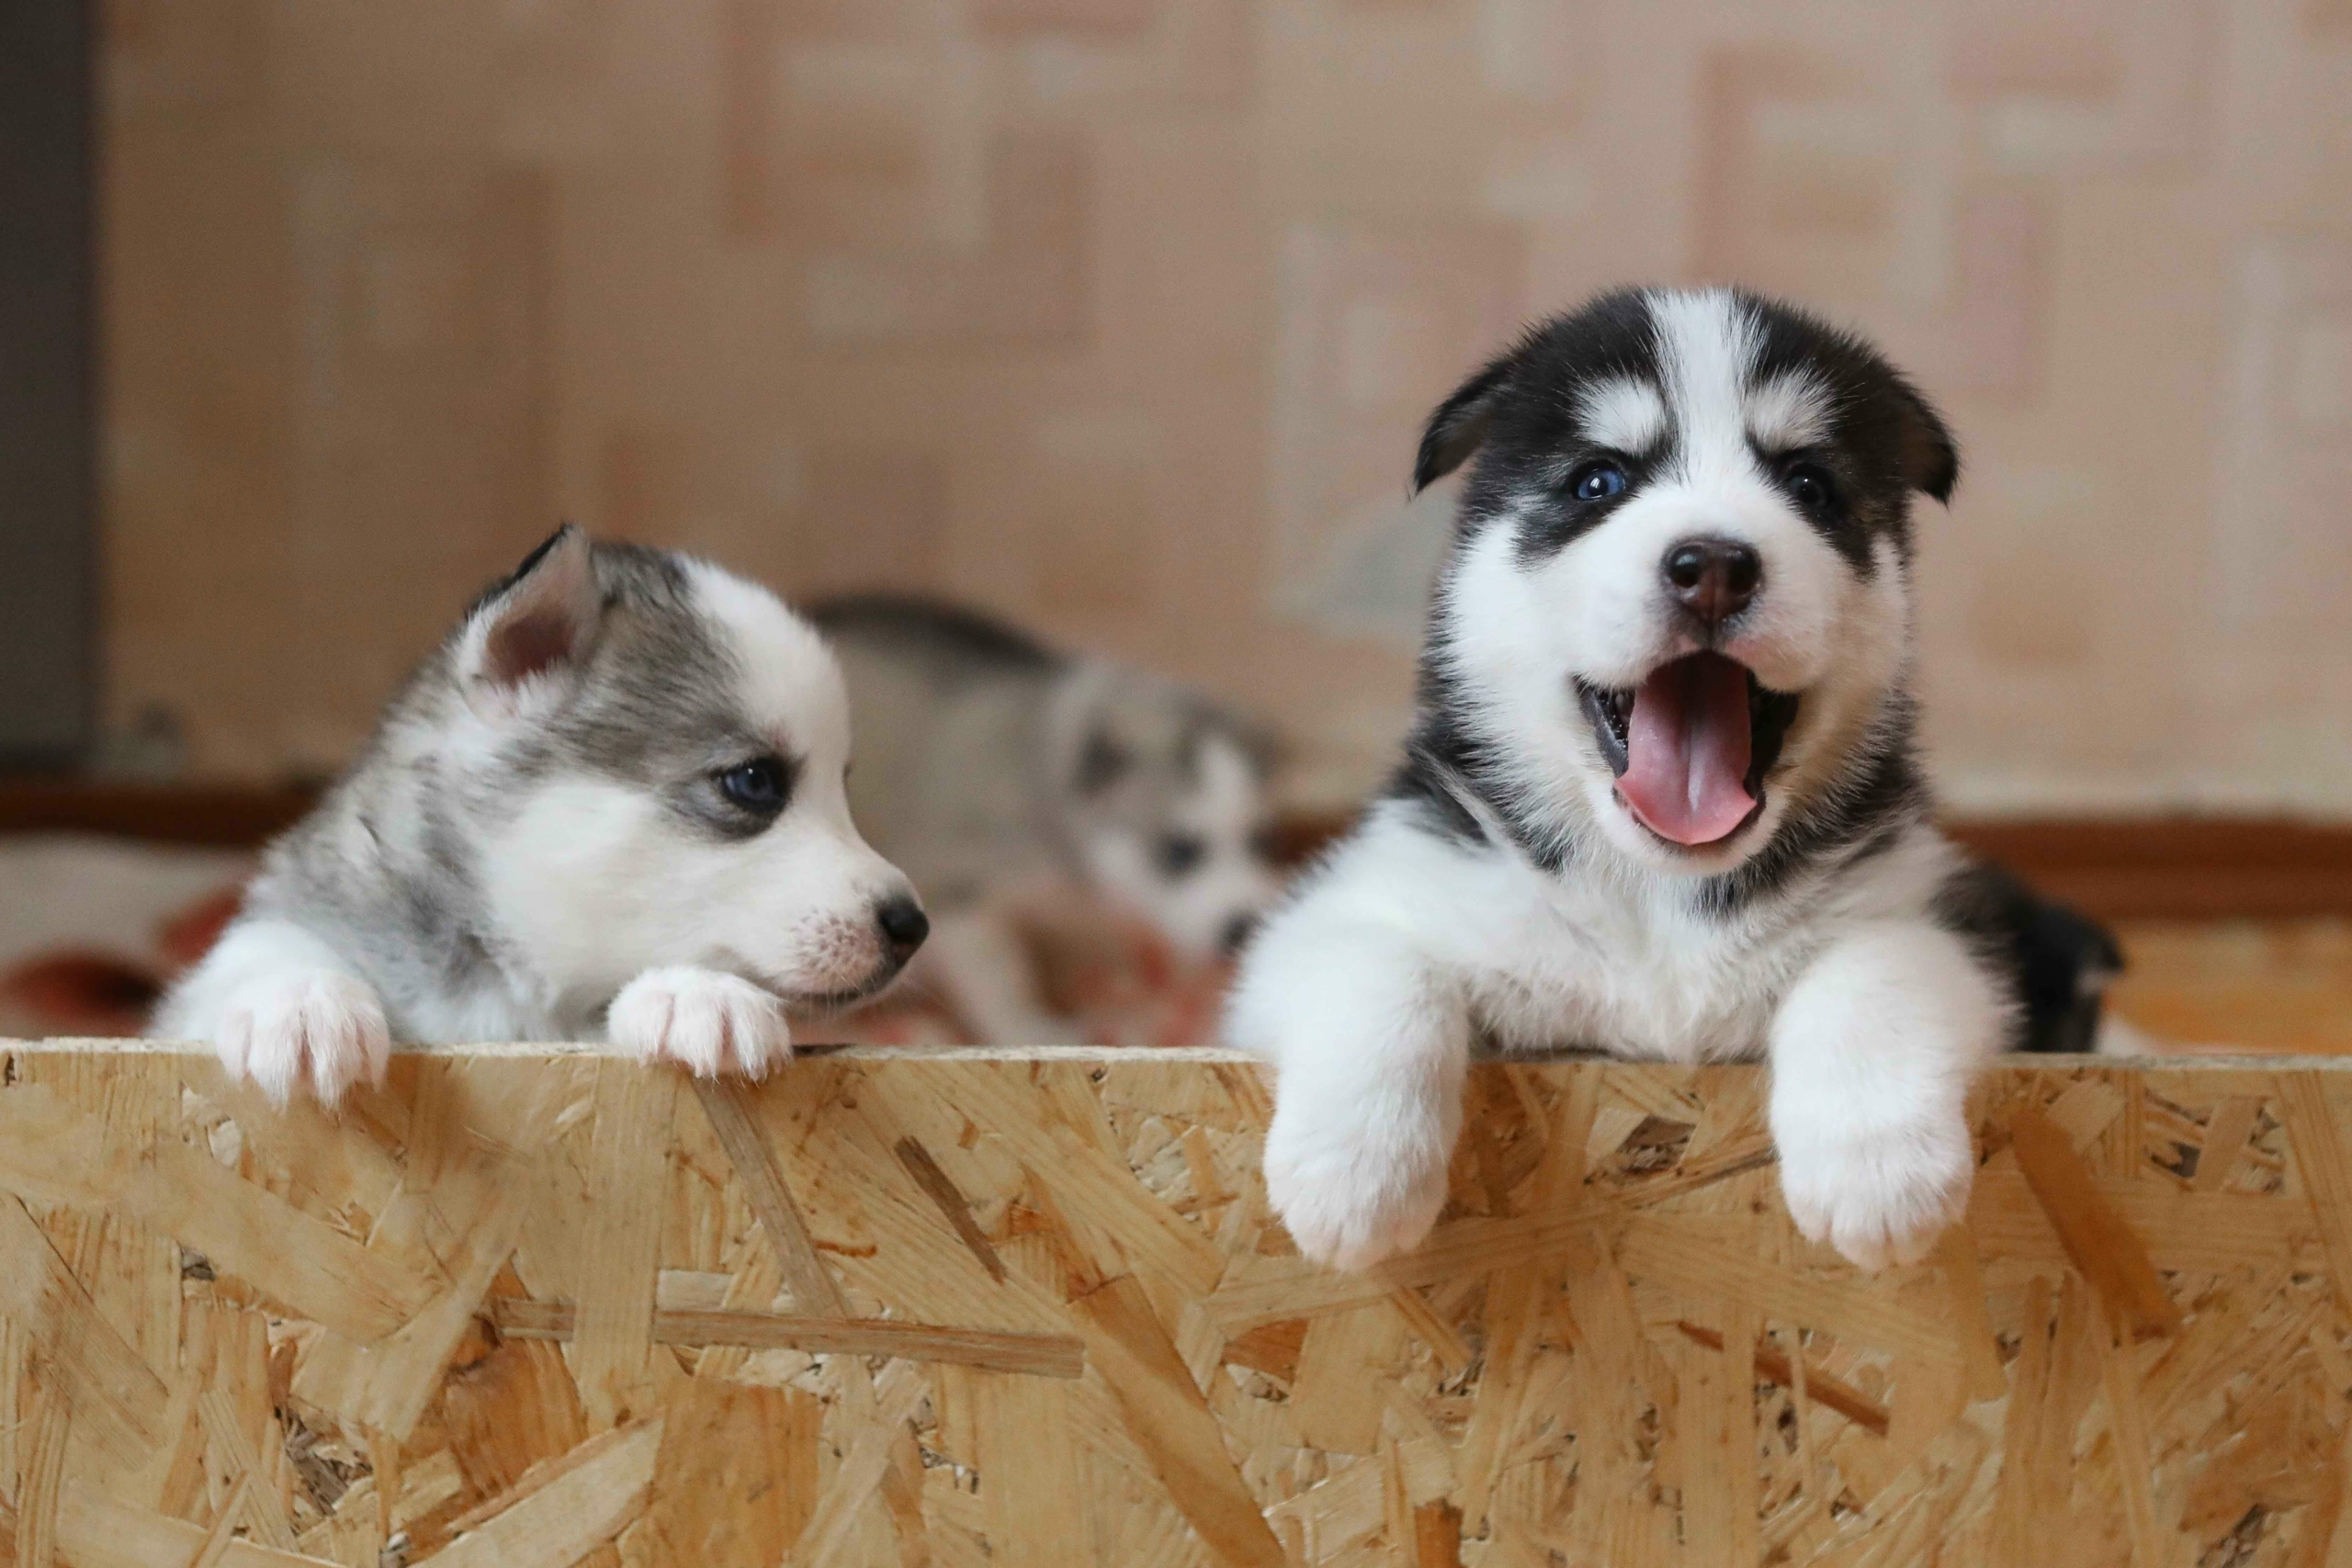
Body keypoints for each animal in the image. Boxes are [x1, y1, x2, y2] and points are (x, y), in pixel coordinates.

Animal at [153, 526, 926, 1104]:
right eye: (755, 781)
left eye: (842, 786)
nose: (911, 925)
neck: (514, 991)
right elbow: (265, 945)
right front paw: (301, 1000)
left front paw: (697, 992)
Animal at [1223, 288, 2126, 1279]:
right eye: (1598, 482)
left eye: (1809, 485)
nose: (1714, 567)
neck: (1660, 898)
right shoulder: (1359, 903)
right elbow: (1381, 967)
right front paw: (1354, 1173)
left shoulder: (1934, 916)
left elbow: (1874, 967)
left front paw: (1878, 1171)